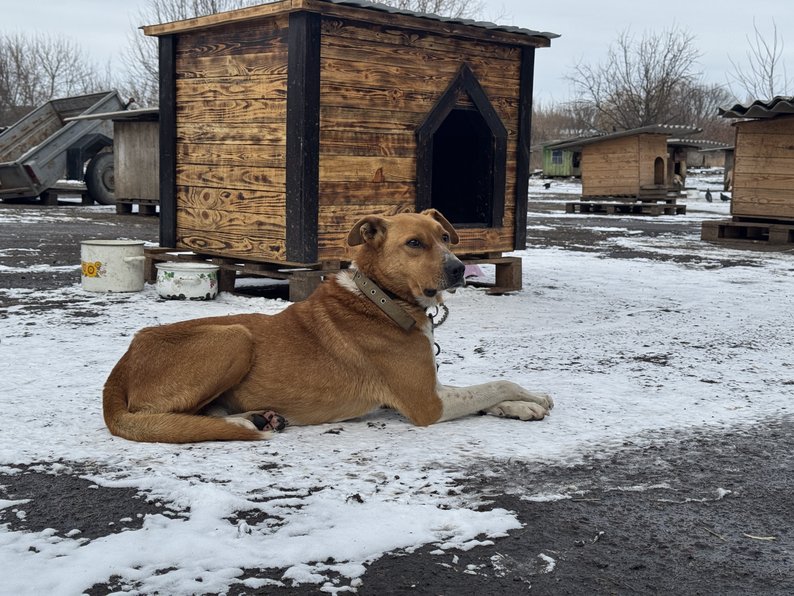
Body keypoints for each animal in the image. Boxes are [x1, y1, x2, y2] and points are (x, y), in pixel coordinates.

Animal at [103, 210, 552, 442]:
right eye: (414, 243)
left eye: (445, 236)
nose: (460, 269)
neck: (380, 299)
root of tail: (119, 370)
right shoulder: (427, 403)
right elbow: (494, 383)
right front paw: (527, 398)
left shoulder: (432, 387)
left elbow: (487, 388)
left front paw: (526, 402)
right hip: (235, 336)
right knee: (169, 418)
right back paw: (243, 424)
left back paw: (258, 417)